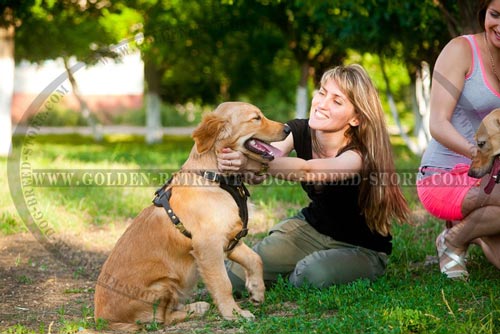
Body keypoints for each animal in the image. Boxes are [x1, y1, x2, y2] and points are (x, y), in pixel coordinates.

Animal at [94, 101, 290, 328]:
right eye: (256, 118)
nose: (288, 128)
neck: (215, 178)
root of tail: (102, 319)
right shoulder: (208, 246)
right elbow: (223, 283)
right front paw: (234, 313)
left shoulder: (231, 239)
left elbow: (255, 259)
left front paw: (257, 290)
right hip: (163, 284)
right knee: (161, 318)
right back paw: (195, 309)